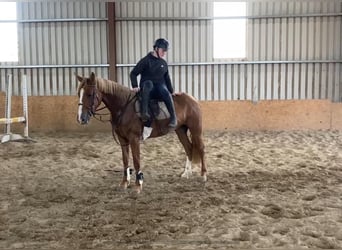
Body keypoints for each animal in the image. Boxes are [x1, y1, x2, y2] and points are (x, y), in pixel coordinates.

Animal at [76, 72, 207, 193]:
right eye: (79, 94)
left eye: (89, 94)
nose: (81, 118)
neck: (124, 107)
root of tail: (192, 99)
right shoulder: (122, 139)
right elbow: (125, 160)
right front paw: (125, 183)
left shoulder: (134, 139)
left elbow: (136, 160)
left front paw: (138, 185)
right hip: (180, 130)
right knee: (188, 148)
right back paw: (186, 173)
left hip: (196, 130)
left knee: (200, 148)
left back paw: (203, 175)